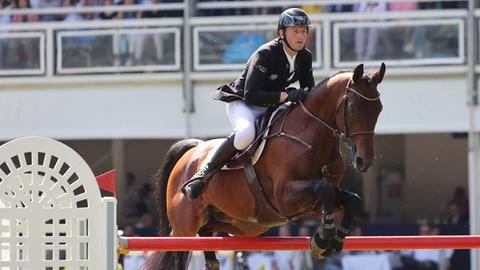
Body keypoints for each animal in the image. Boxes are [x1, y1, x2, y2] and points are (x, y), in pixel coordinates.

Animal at [143, 63, 386, 270]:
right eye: (353, 108)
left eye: (379, 109)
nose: (365, 161)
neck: (311, 138)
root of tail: (191, 151)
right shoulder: (284, 197)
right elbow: (322, 188)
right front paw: (322, 239)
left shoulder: (316, 205)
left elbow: (352, 200)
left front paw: (334, 239)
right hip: (183, 228)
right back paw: (195, 185)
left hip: (234, 224)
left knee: (209, 245)